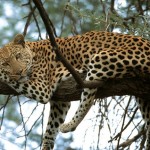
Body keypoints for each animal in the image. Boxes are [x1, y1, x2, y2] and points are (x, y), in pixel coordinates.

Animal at [0, 31, 150, 149]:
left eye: (18, 56)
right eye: (6, 63)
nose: (19, 72)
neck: (34, 53)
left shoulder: (42, 88)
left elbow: (10, 79)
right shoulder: (60, 101)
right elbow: (51, 127)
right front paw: (46, 146)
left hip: (101, 58)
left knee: (87, 101)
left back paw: (69, 125)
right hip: (143, 97)